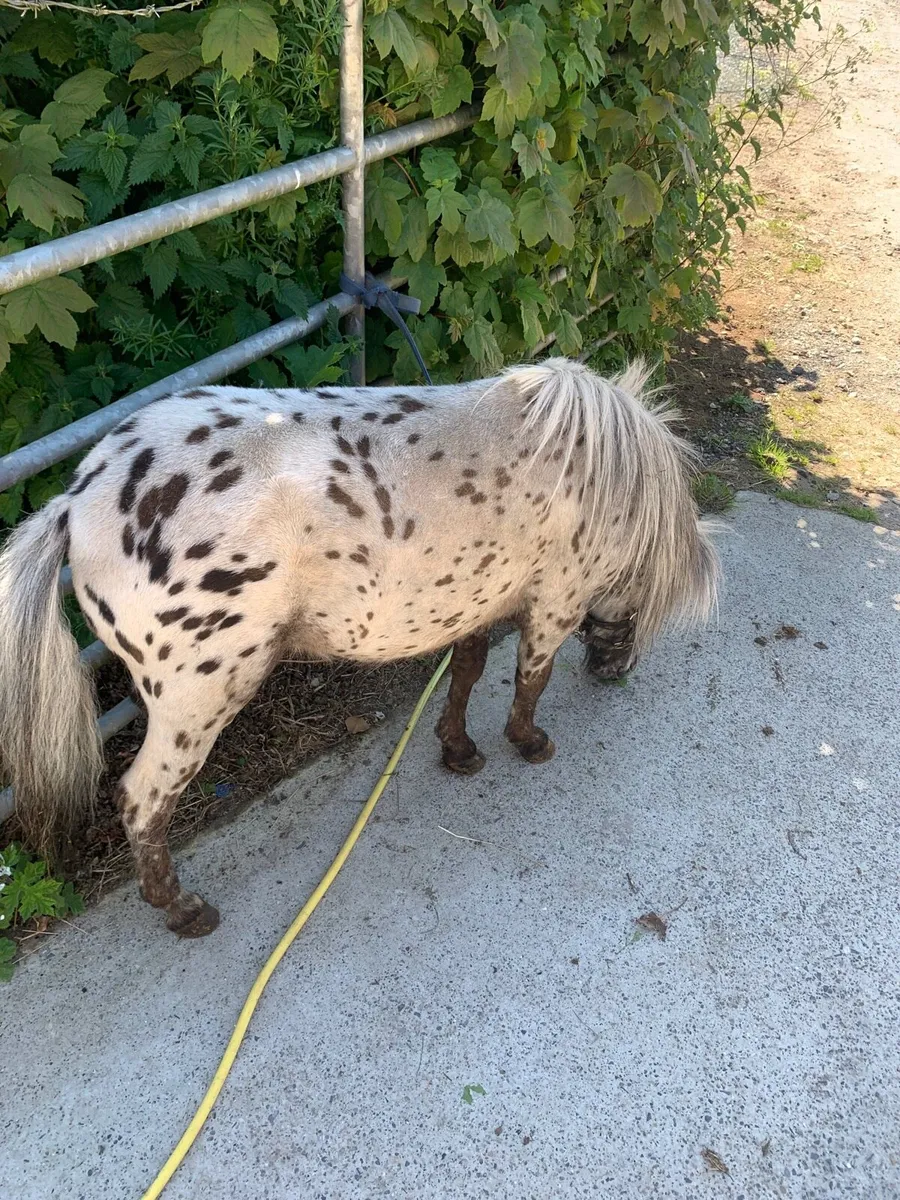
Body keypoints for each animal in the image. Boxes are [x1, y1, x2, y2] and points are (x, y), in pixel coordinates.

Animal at [0, 358, 719, 937]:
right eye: (645, 610)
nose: (615, 670)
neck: (599, 468)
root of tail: (76, 502)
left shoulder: (477, 602)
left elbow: (467, 673)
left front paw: (459, 750)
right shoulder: (555, 603)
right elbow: (529, 680)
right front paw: (529, 743)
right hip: (195, 700)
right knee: (141, 800)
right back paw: (184, 911)